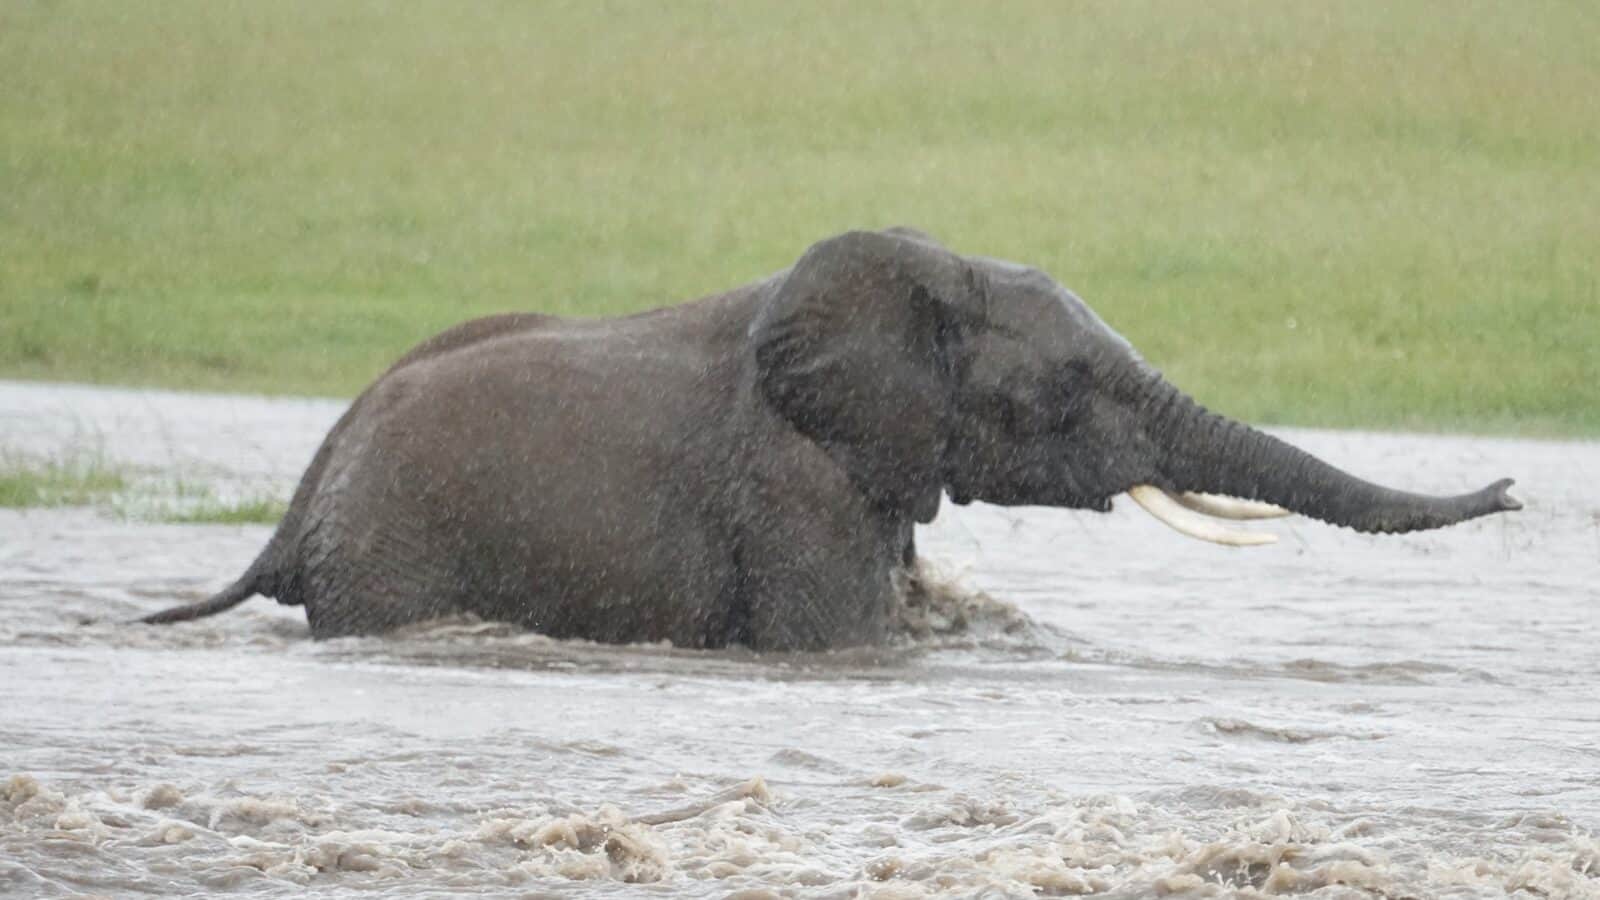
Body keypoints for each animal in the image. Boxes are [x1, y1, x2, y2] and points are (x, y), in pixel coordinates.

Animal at [140, 228, 1521, 649]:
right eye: (1069, 389)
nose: (1515, 491)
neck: (933, 275)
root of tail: (306, 486)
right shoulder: (792, 483)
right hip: (394, 553)